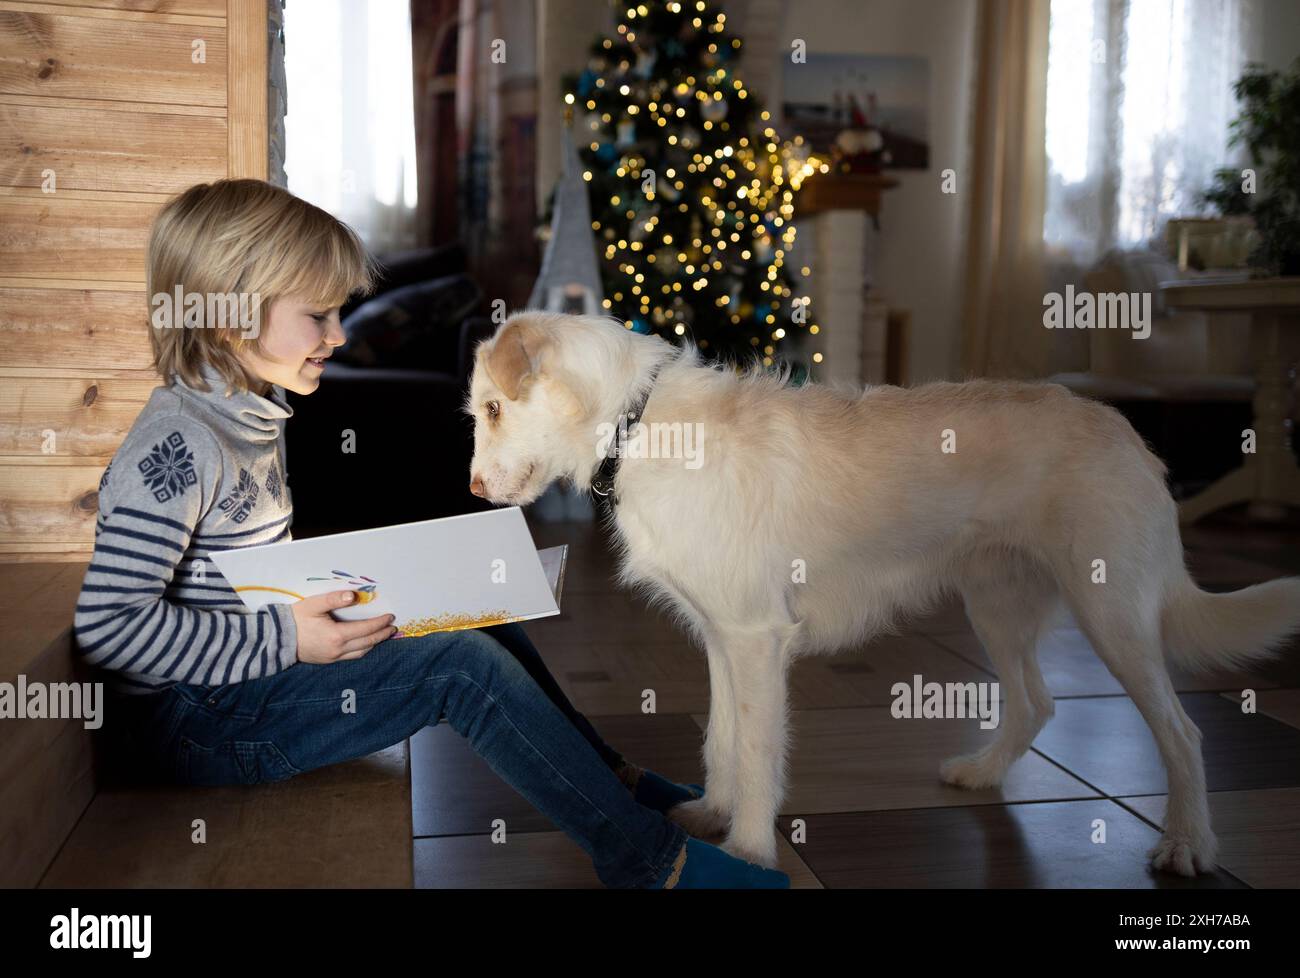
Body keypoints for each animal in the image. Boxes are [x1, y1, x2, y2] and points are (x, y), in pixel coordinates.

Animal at [467, 313, 1300, 879]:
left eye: (495, 409)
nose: (471, 491)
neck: (637, 425)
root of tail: (1129, 435)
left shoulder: (755, 639)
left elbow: (757, 751)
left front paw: (750, 852)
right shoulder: (722, 637)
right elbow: (722, 740)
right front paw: (712, 814)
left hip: (1114, 619)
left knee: (1182, 733)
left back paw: (1188, 843)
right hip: (998, 607)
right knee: (1037, 703)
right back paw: (984, 774)